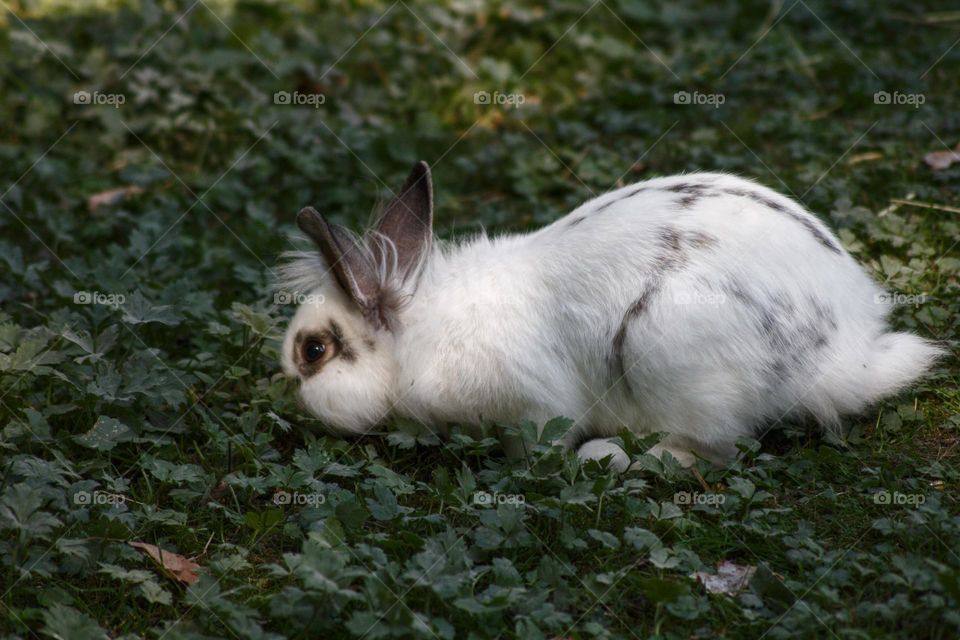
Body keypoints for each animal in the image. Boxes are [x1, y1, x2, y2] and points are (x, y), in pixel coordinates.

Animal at [276, 160, 936, 470]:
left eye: (314, 351)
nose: (291, 391)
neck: (418, 337)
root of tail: (847, 355)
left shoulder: (533, 406)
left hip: (674, 359)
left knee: (718, 449)